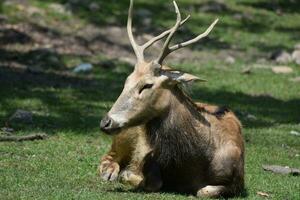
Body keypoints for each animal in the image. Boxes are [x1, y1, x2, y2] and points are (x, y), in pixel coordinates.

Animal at [98, 0, 244, 197]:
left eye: (147, 85)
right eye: (126, 80)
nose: (106, 122)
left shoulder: (238, 181)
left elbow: (204, 191)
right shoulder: (151, 157)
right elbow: (153, 181)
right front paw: (129, 175)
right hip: (126, 134)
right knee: (108, 157)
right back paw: (110, 172)